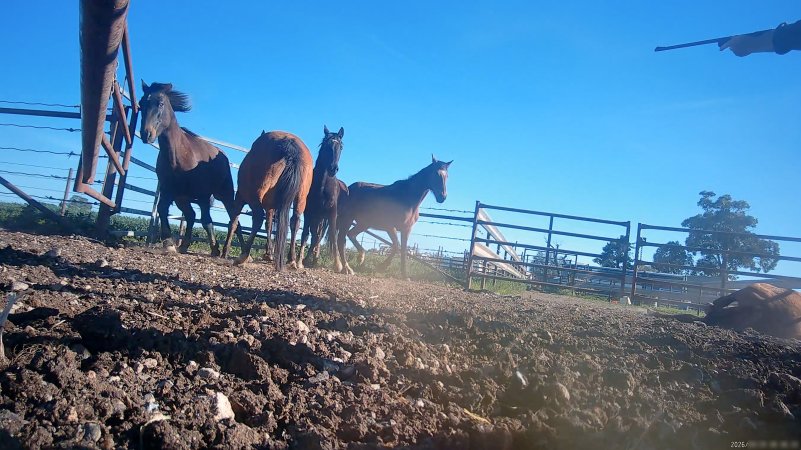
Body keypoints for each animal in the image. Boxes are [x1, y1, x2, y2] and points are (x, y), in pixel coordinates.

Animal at [138, 81, 243, 256]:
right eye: (140, 104)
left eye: (160, 103)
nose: (146, 134)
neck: (179, 156)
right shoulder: (168, 190)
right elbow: (162, 209)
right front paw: (169, 243)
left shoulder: (203, 196)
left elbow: (207, 221)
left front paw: (215, 248)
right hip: (182, 198)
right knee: (191, 215)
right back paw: (184, 245)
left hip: (225, 195)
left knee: (234, 220)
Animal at [221, 130, 313, 271]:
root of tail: (289, 144)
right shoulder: (270, 206)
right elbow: (268, 225)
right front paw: (269, 253)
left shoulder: (240, 197)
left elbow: (234, 222)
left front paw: (225, 251)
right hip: (301, 198)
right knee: (295, 222)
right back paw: (292, 259)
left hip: (254, 194)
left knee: (258, 216)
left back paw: (243, 256)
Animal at [296, 126, 346, 270]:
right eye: (326, 145)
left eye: (341, 146)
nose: (333, 169)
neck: (323, 185)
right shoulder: (309, 212)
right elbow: (306, 234)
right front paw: (300, 261)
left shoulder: (332, 213)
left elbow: (333, 236)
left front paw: (338, 265)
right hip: (318, 217)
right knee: (315, 236)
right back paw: (310, 259)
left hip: (323, 218)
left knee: (319, 236)